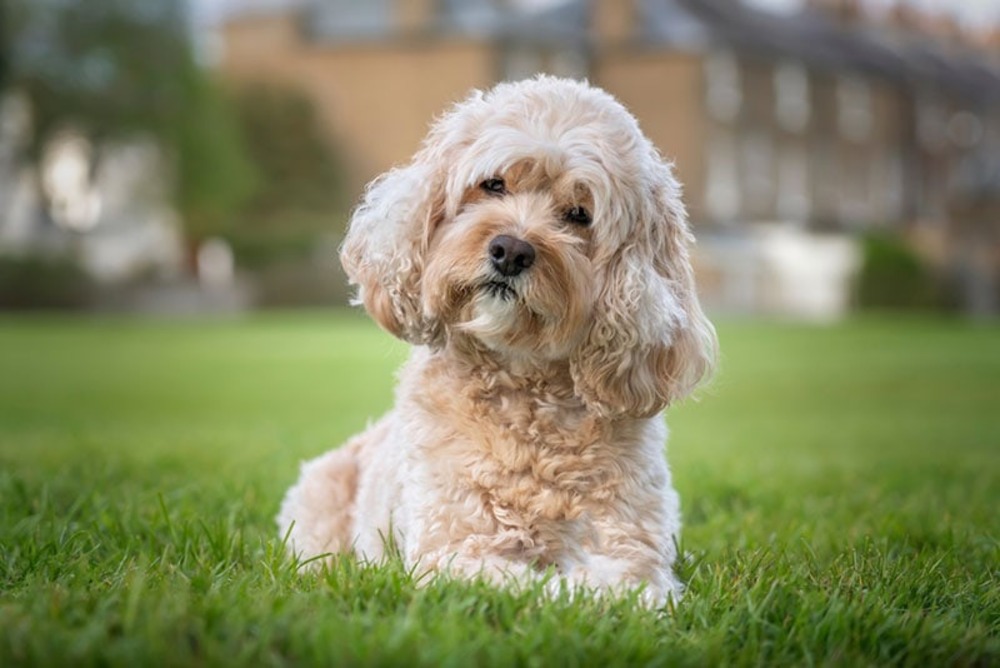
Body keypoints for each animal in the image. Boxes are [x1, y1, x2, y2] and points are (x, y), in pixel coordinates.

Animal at [280, 75, 720, 604]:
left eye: (579, 214)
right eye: (493, 184)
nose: (511, 250)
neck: (525, 392)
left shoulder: (631, 551)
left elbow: (612, 587)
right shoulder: (454, 551)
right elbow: (543, 589)